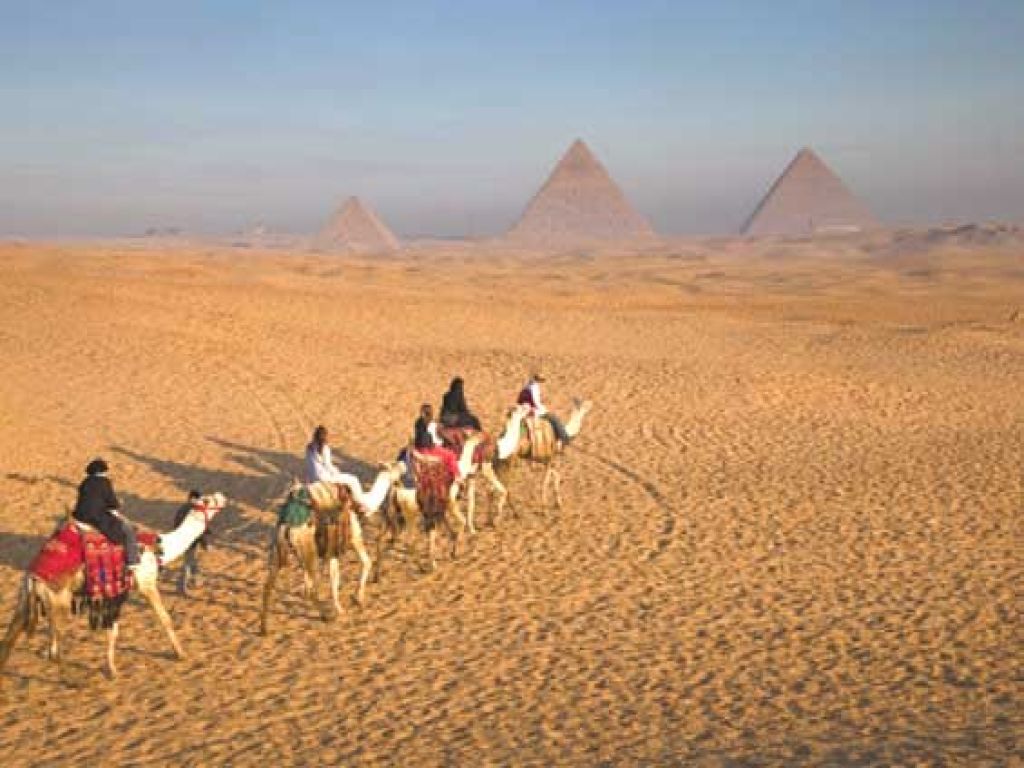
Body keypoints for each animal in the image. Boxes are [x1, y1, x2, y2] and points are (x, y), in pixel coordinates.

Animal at [0, 493, 228, 679]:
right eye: (208, 500)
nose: (222, 496)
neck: (158, 548)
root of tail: (33, 577)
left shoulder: (116, 592)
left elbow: (113, 631)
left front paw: (111, 669)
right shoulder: (146, 584)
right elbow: (165, 619)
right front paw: (180, 654)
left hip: (27, 600)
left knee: (11, 638)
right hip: (59, 603)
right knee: (53, 651)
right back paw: (75, 681)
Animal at [256, 462, 399, 638]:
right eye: (394, 467)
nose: (402, 468)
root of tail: (287, 524)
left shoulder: (332, 549)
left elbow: (333, 579)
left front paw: (340, 608)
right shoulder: (354, 535)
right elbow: (366, 563)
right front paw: (356, 599)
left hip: (279, 549)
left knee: (268, 587)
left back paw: (264, 628)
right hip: (309, 552)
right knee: (310, 590)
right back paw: (325, 616)